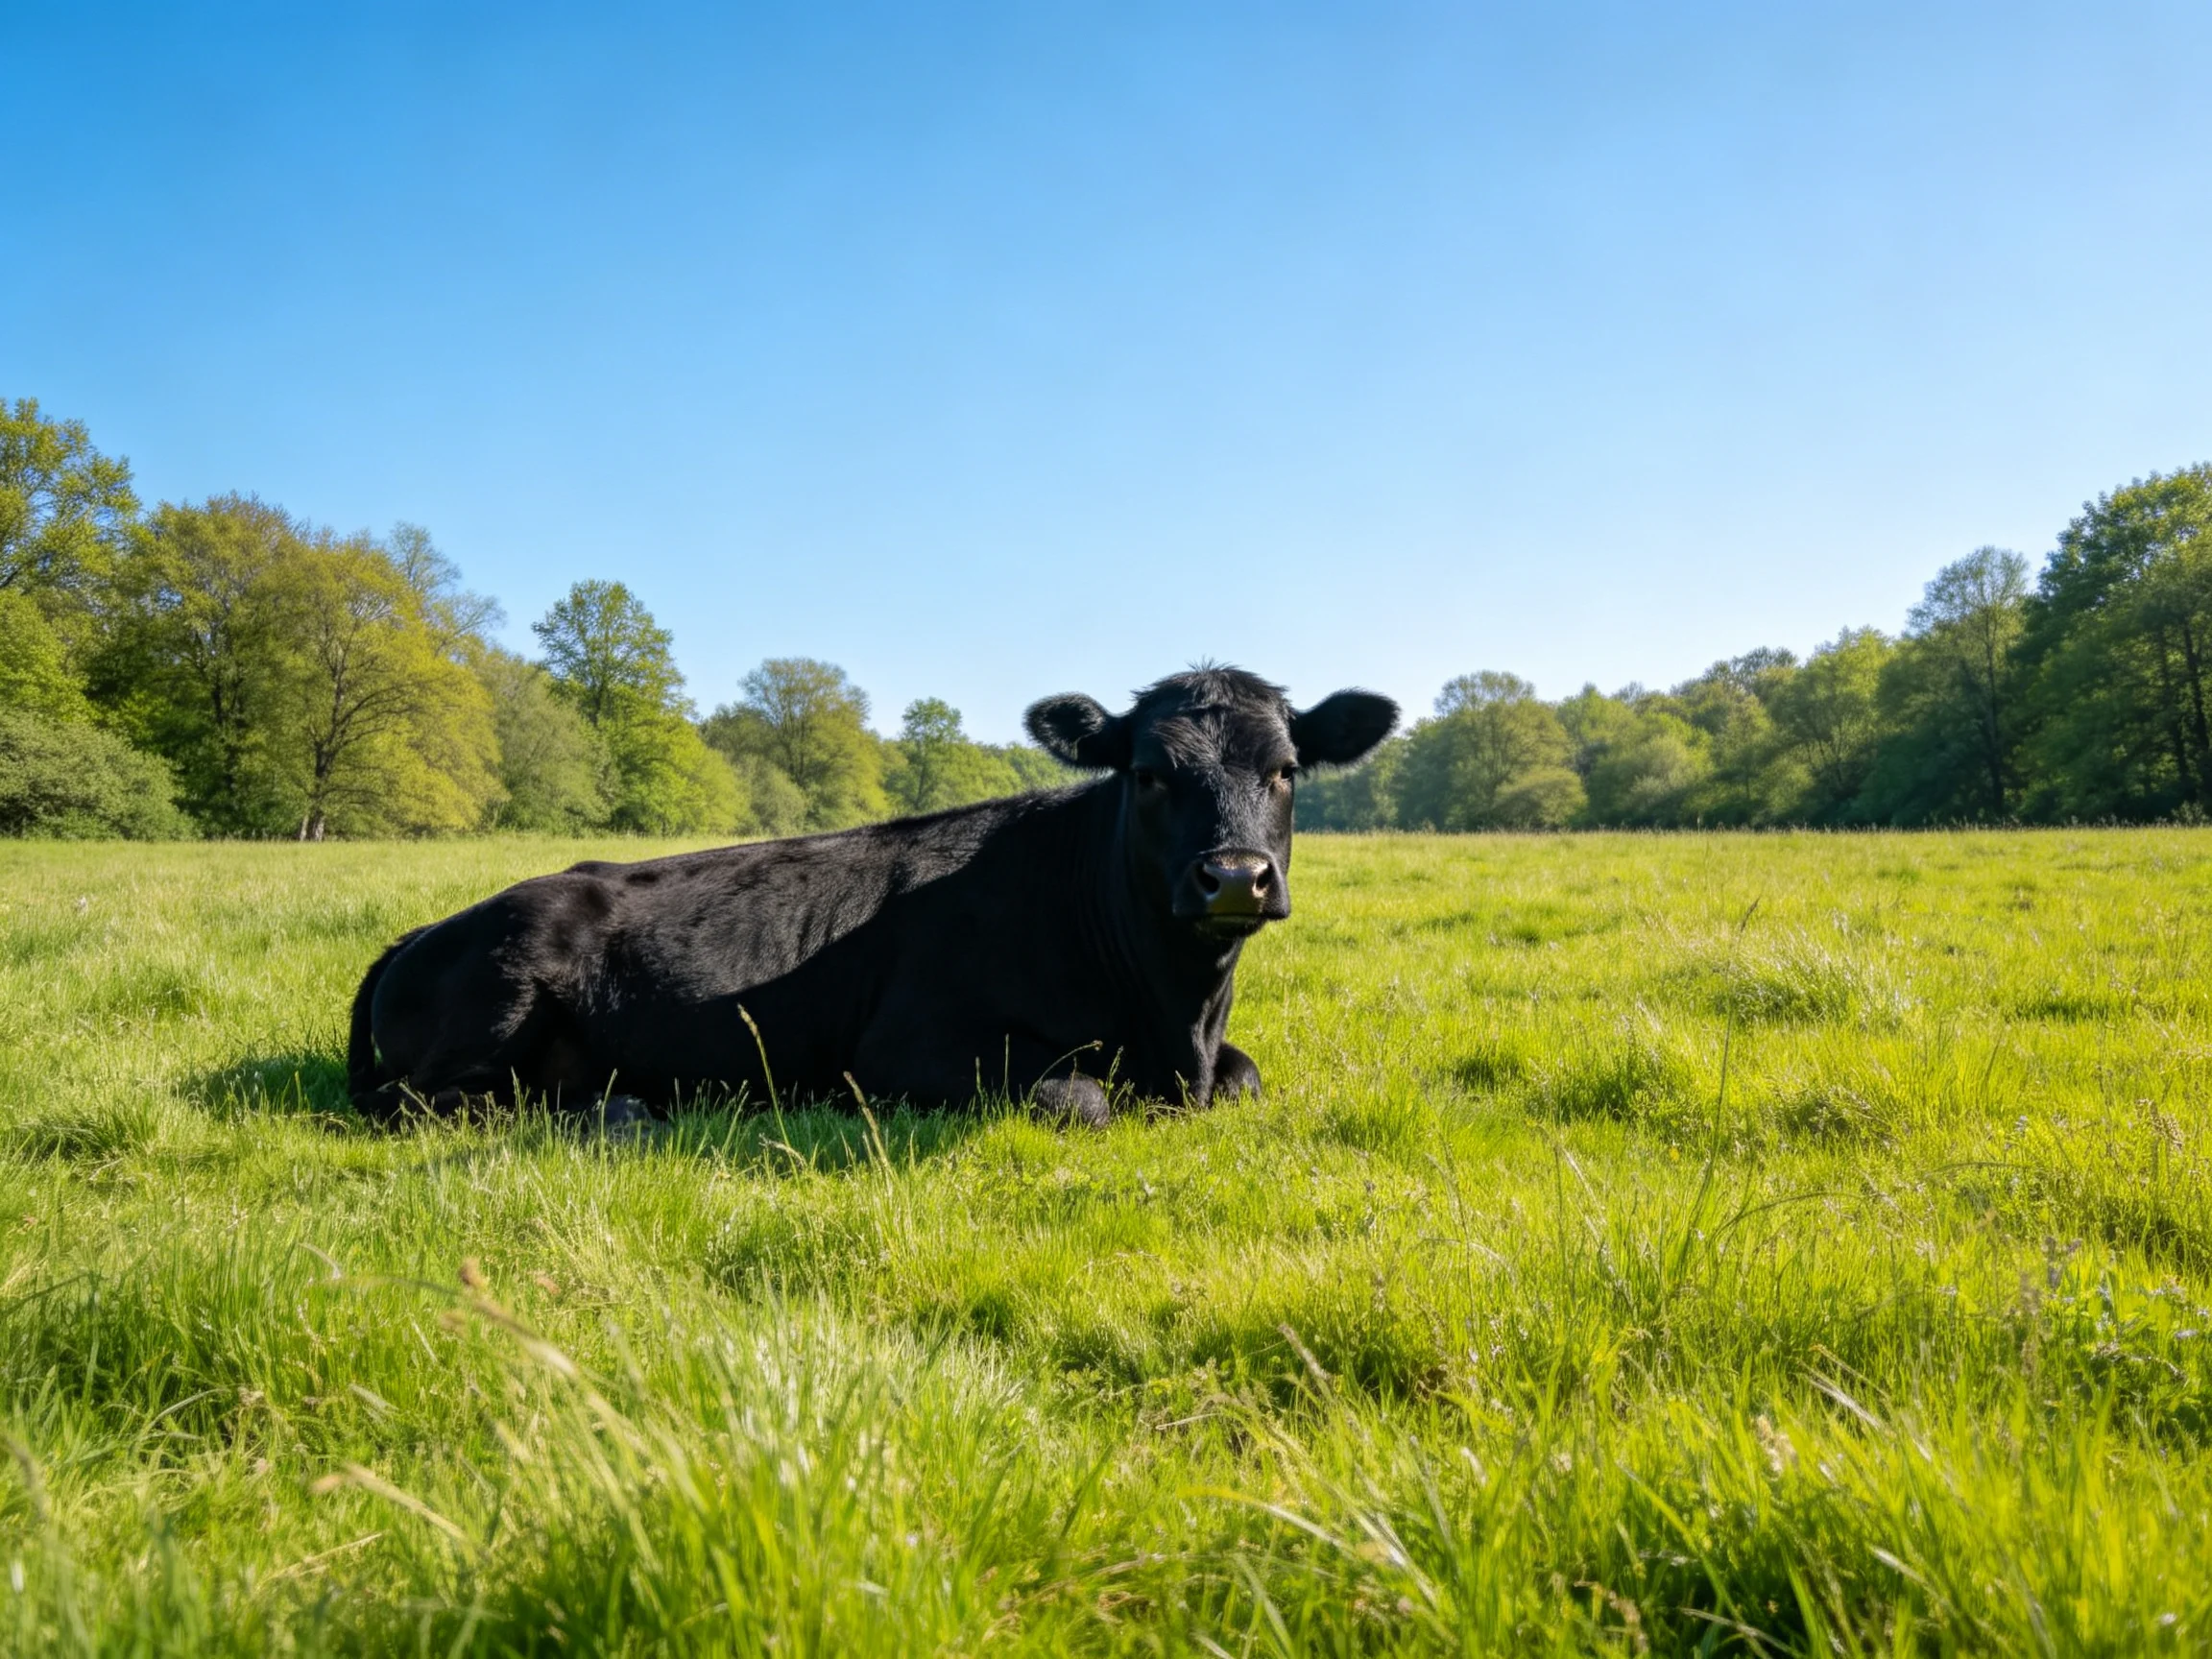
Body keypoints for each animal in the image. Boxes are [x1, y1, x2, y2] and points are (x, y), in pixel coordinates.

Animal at [347, 667, 1397, 1127]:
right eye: (1147, 774)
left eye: (1287, 770)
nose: (1234, 876)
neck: (1175, 1017)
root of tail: (427, 928)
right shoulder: (905, 1049)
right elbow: (1081, 1096)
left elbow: (1248, 1079)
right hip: (498, 997)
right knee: (431, 1102)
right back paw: (620, 1113)